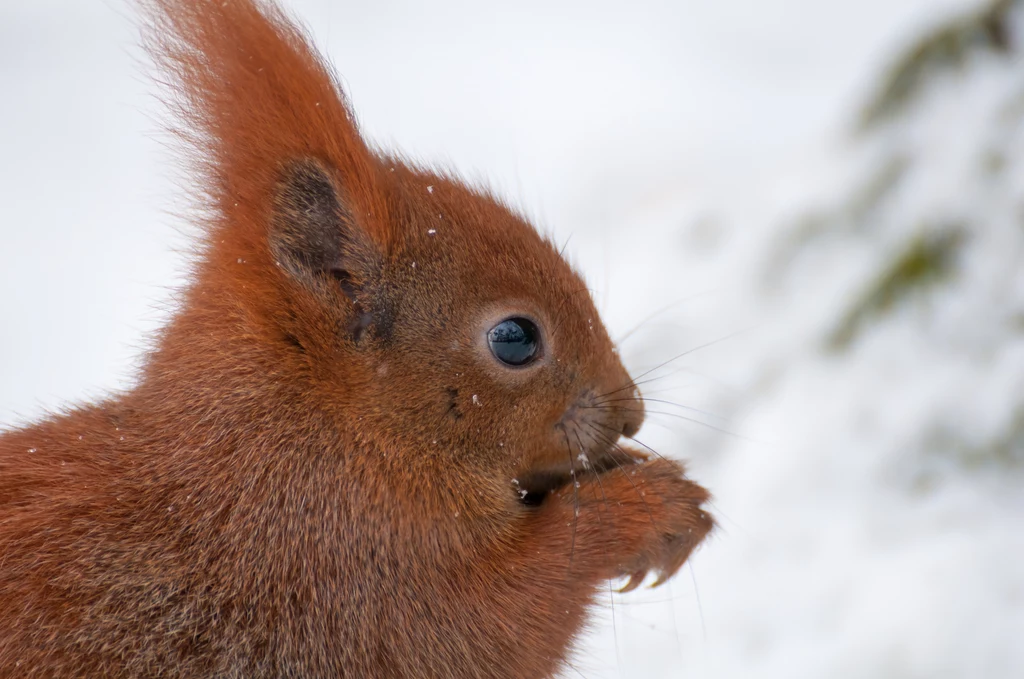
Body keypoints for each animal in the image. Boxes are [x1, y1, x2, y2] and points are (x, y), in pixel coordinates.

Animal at [0, 2, 712, 675]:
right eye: (515, 340)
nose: (632, 414)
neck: (320, 432)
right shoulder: (346, 569)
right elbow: (498, 621)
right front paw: (648, 510)